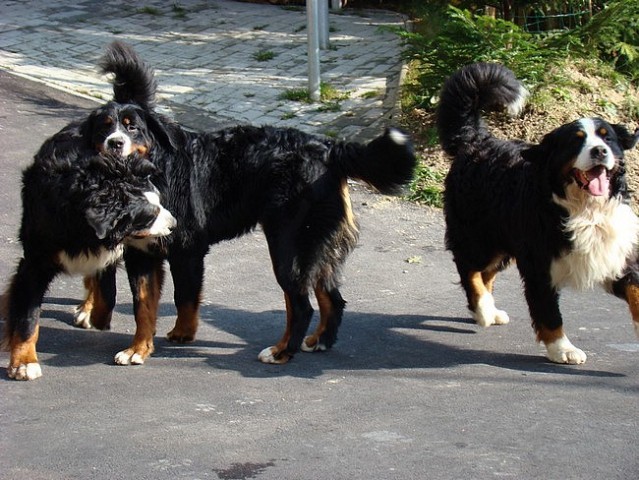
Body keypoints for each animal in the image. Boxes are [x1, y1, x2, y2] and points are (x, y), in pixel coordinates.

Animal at [1, 152, 176, 380]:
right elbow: (27, 316)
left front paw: (137, 349)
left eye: (160, 202)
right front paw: (24, 362)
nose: (174, 224)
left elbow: (141, 303)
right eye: (148, 216)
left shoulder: (138, 252)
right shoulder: (36, 260)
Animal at [65, 42, 418, 368]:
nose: (114, 143)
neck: (152, 174)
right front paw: (138, 349)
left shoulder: (187, 249)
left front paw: (181, 334)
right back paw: (318, 341)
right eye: (104, 128)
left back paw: (281, 352)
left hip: (288, 246)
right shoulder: (141, 255)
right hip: (316, 247)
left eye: (132, 127)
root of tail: (328, 147)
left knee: (300, 305)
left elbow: (184, 297)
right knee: (332, 298)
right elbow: (143, 306)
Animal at [440, 62, 639, 364]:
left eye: (608, 138)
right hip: (478, 237)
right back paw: (483, 308)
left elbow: (636, 292)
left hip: (502, 242)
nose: (600, 151)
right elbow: (548, 313)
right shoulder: (539, 265)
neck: (585, 210)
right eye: (576, 142)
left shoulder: (615, 257)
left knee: (486, 273)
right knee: (470, 269)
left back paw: (488, 309)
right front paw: (562, 349)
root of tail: (477, 140)